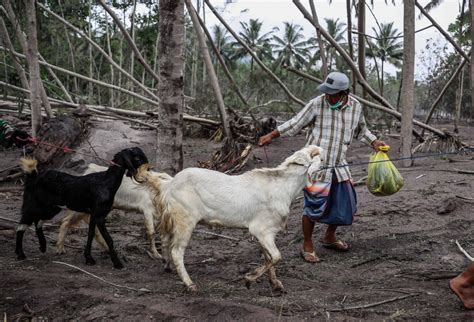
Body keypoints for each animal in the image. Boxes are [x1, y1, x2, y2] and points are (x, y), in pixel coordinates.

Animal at [15, 147, 148, 268]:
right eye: (137, 157)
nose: (148, 168)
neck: (106, 181)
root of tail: (33, 177)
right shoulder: (99, 215)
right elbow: (109, 239)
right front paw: (117, 263)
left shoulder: (93, 214)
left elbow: (90, 234)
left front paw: (89, 258)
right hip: (35, 204)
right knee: (23, 224)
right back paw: (20, 254)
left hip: (50, 208)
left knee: (38, 221)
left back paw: (42, 246)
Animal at [158, 145, 322, 290]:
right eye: (318, 158)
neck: (283, 187)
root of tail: (170, 184)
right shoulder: (262, 230)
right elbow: (276, 256)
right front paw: (249, 279)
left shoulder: (265, 233)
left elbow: (269, 257)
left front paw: (275, 284)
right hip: (184, 220)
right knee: (177, 251)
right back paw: (189, 284)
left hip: (172, 220)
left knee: (165, 240)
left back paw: (167, 266)